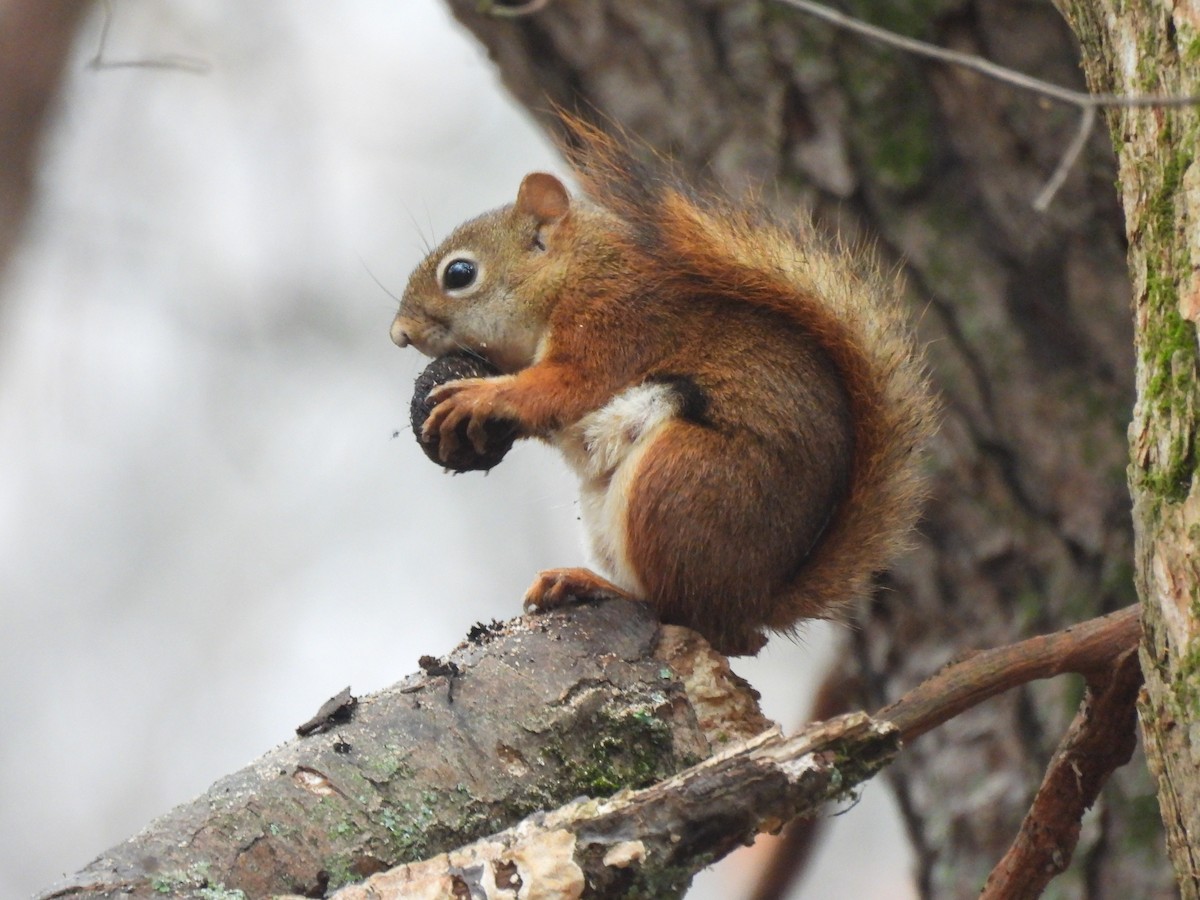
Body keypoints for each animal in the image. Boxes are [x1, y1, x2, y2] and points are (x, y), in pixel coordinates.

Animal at [391, 118, 936, 656]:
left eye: (460, 273)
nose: (399, 334)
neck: (573, 272)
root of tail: (751, 602)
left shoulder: (614, 324)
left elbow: (563, 389)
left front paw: (478, 396)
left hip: (679, 478)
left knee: (678, 609)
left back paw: (592, 584)